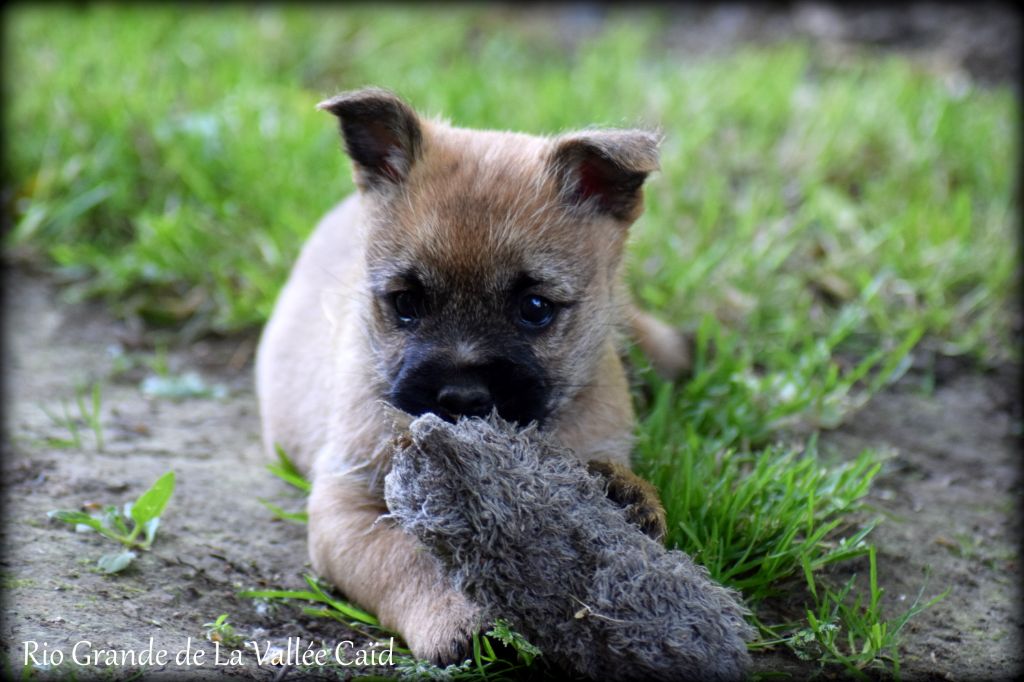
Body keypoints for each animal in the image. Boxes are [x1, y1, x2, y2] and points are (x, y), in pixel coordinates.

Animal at [255, 88, 690, 664]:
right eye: (406, 304)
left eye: (535, 308)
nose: (461, 397)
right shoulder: (346, 507)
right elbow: (405, 558)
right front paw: (455, 619)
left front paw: (628, 496)